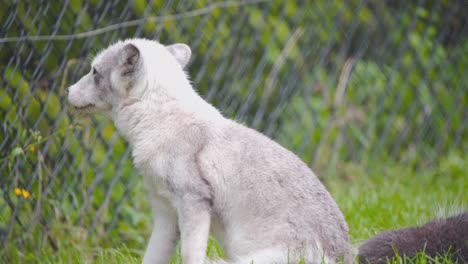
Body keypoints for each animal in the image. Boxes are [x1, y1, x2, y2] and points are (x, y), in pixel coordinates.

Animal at [66, 39, 352, 264]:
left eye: (94, 72)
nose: (67, 90)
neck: (162, 120)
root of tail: (345, 256)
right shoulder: (166, 214)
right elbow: (153, 256)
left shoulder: (193, 201)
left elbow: (190, 256)